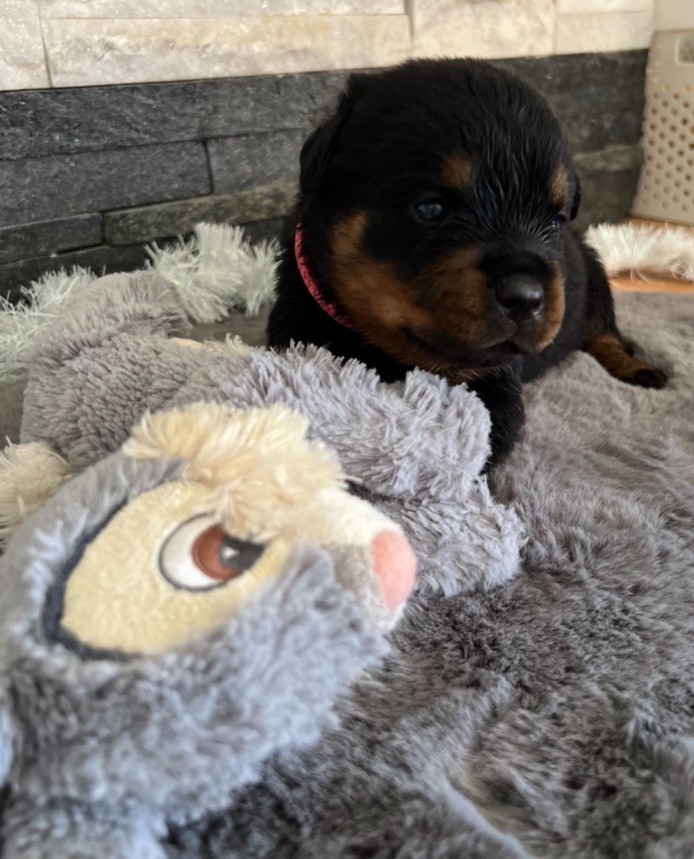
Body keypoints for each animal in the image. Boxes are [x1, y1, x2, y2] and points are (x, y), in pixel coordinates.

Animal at [267, 58, 667, 468]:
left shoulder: (495, 384)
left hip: (596, 278)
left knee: (606, 333)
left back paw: (639, 370)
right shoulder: (296, 336)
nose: (526, 298)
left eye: (554, 220)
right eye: (430, 207)